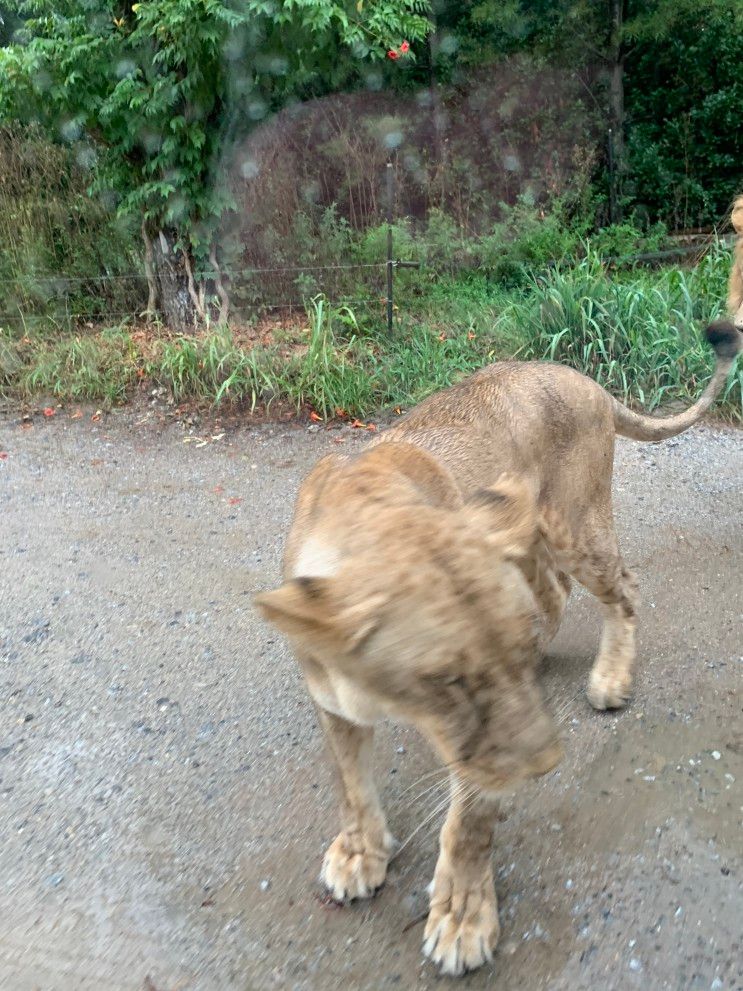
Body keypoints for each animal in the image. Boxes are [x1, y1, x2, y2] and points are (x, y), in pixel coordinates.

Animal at [254, 320, 740, 976]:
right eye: (447, 681)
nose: (546, 766)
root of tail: (581, 379)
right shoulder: (333, 700)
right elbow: (350, 785)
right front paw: (359, 853)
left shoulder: (483, 751)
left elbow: (468, 827)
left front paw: (463, 918)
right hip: (527, 533)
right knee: (555, 591)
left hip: (574, 523)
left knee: (624, 588)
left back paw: (609, 678)